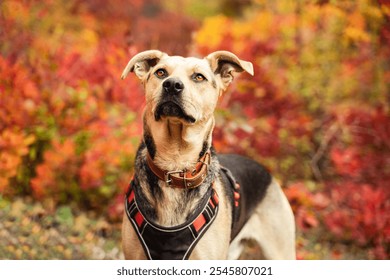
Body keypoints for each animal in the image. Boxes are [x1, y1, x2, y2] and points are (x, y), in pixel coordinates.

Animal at [120, 49, 294, 260]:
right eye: (160, 72)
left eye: (199, 77)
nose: (171, 85)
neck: (175, 165)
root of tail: (265, 171)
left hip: (280, 250)